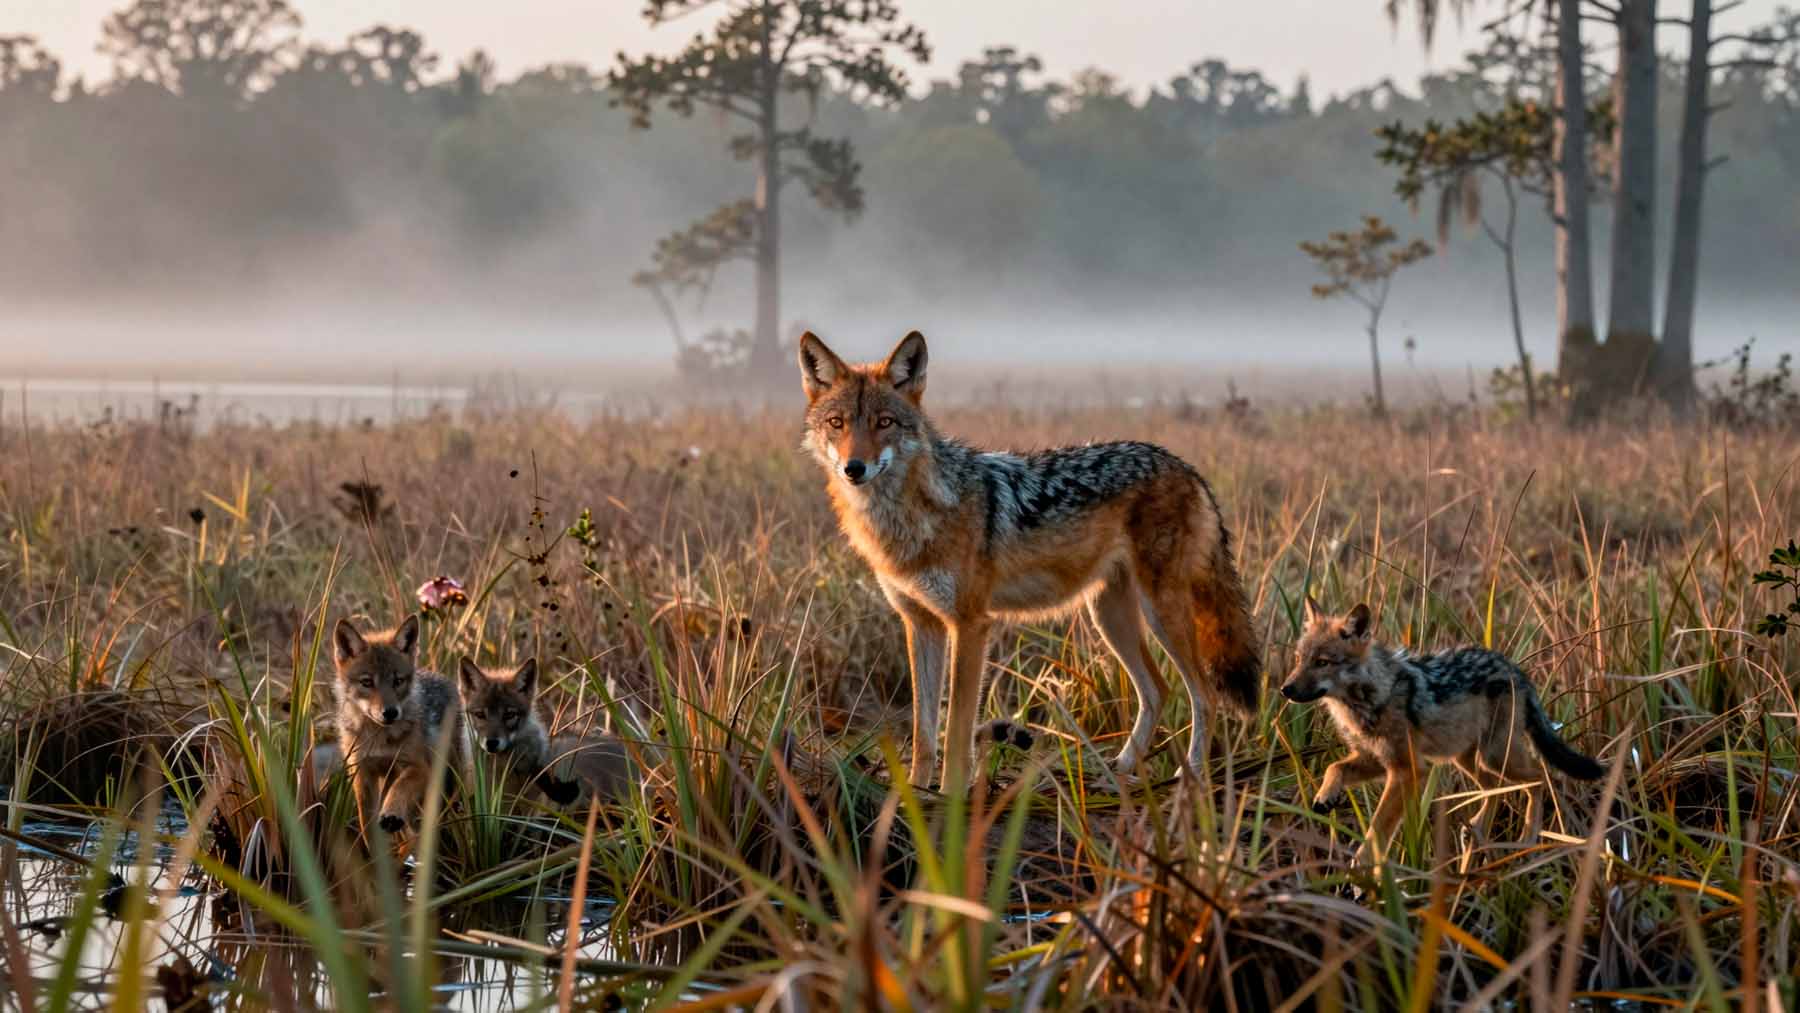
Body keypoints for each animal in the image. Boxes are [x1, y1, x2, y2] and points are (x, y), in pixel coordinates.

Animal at [332, 614, 463, 837]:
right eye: (367, 682)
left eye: (398, 681)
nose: (390, 712)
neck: (378, 738)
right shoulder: (362, 774)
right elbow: (367, 825)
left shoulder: (418, 767)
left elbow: (400, 789)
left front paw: (392, 814)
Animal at [798, 330, 1261, 788]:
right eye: (837, 423)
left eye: (884, 422)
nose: (854, 468)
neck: (910, 519)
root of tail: (1185, 466)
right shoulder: (920, 623)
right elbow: (924, 732)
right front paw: (913, 793)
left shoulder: (970, 625)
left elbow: (956, 733)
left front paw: (949, 799)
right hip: (1110, 616)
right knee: (1158, 690)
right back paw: (1118, 773)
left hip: (1159, 613)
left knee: (1204, 694)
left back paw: (1192, 779)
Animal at [1280, 598, 1604, 862]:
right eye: (1298, 660)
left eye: (1322, 662)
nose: (1285, 689)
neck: (1369, 699)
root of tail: (1514, 668)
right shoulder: (1375, 760)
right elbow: (1334, 767)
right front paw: (1326, 795)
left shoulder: (1407, 770)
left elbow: (1377, 830)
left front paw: (1362, 873)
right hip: (1466, 759)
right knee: (1496, 788)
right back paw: (1478, 832)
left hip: (1496, 756)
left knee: (1539, 777)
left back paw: (1527, 839)